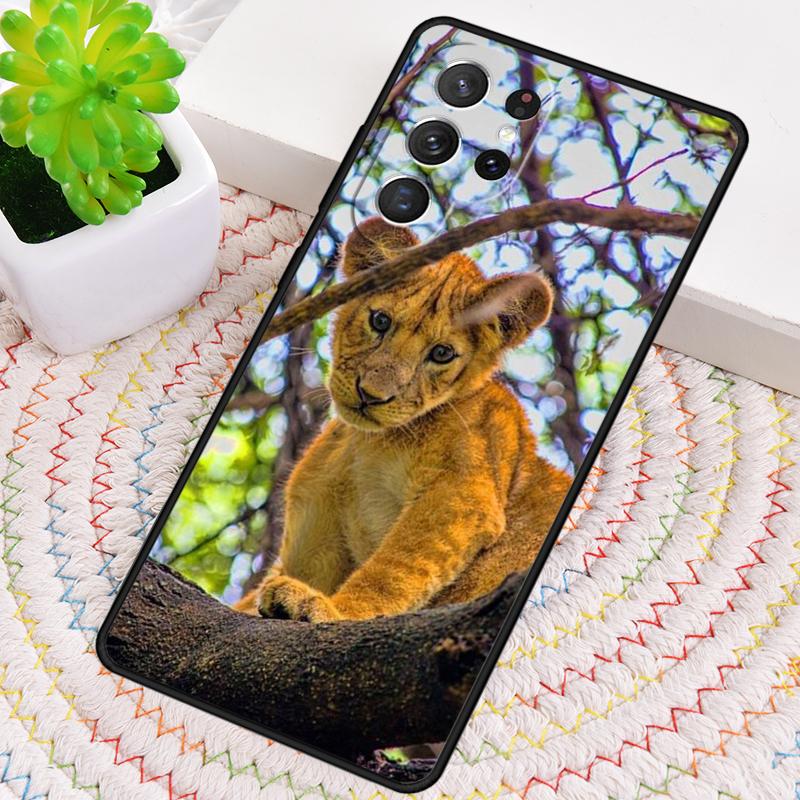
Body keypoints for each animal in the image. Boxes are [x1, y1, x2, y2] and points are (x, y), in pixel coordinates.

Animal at [235, 217, 571, 622]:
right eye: (380, 321)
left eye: (442, 354)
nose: (371, 395)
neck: (368, 444)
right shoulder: (315, 530)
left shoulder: (463, 491)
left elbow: (394, 570)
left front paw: (332, 610)